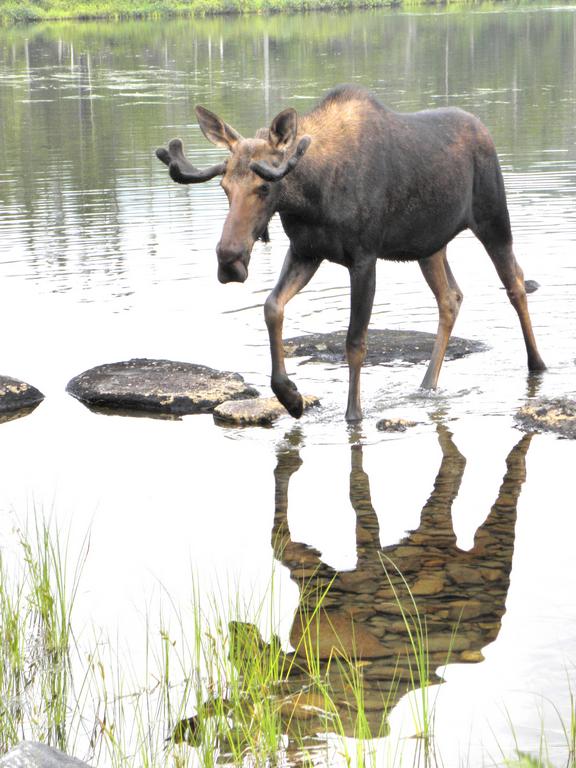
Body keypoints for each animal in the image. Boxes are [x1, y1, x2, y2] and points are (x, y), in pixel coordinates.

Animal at [156, 85, 544, 420]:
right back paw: (427, 383)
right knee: (451, 297)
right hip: (430, 244)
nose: (229, 259)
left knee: (516, 282)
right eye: (224, 187)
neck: (311, 198)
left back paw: (536, 363)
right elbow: (272, 307)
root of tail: (483, 128)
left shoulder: (363, 258)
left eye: (264, 187)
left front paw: (353, 413)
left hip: (493, 219)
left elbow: (355, 341)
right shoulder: (306, 252)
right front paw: (291, 397)